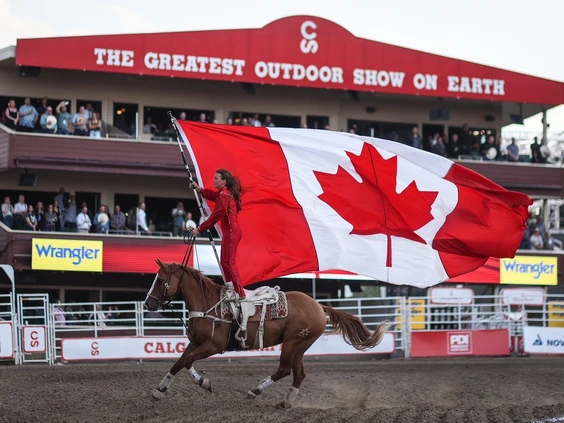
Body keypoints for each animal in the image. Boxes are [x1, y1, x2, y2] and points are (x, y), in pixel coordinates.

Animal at [144, 260, 388, 410]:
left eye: (159, 279)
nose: (147, 303)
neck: (209, 304)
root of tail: (319, 305)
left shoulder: (213, 346)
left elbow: (186, 361)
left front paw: (204, 383)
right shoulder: (195, 342)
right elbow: (179, 362)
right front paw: (159, 391)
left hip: (292, 343)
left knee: (285, 370)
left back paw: (254, 391)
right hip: (300, 346)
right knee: (298, 374)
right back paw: (285, 403)